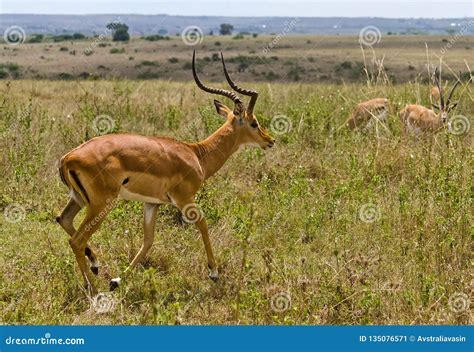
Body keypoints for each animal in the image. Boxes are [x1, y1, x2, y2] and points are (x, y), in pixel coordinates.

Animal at [57, 51, 276, 294]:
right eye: (254, 123)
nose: (270, 141)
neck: (196, 154)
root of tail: (68, 157)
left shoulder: (152, 203)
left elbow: (148, 240)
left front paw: (117, 280)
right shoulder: (184, 199)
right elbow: (203, 224)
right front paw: (214, 273)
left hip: (79, 200)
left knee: (63, 220)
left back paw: (95, 264)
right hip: (101, 204)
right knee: (76, 240)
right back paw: (94, 290)